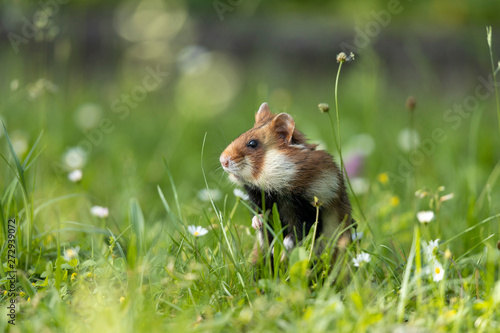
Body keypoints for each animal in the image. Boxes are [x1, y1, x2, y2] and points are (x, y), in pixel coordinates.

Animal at [221, 101, 354, 262]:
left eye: (252, 143)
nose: (222, 160)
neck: (278, 185)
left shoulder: (312, 208)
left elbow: (297, 234)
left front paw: (280, 254)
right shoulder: (259, 198)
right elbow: (261, 217)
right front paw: (258, 222)